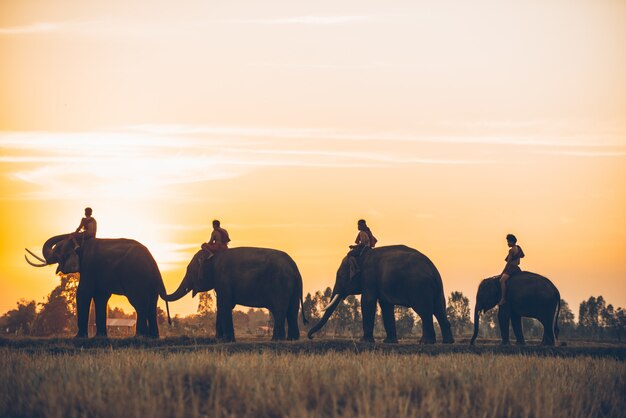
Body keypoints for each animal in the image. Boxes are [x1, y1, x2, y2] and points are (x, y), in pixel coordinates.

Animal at [25, 233, 169, 338]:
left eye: (57, 251)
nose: (77, 232)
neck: (81, 245)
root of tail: (153, 263)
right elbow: (101, 296)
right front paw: (100, 337)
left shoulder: (89, 266)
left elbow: (83, 292)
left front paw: (78, 337)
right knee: (151, 303)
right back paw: (153, 337)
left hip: (135, 278)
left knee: (139, 303)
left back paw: (139, 337)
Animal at [162, 247, 306, 342]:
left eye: (190, 270)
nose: (169, 322)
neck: (213, 255)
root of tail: (296, 269)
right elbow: (222, 306)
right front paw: (219, 339)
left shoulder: (223, 279)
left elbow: (224, 305)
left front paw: (227, 340)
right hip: (292, 287)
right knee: (291, 310)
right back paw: (292, 339)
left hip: (280, 284)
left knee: (279, 309)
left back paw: (276, 340)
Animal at [308, 243, 454, 344]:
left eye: (340, 276)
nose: (311, 337)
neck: (361, 255)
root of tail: (433, 270)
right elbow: (385, 305)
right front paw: (389, 342)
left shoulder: (369, 277)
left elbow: (367, 301)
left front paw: (364, 341)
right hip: (437, 289)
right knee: (439, 309)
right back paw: (447, 342)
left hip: (420, 288)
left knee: (425, 312)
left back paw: (425, 342)